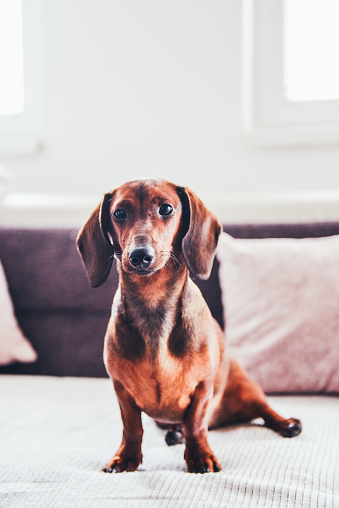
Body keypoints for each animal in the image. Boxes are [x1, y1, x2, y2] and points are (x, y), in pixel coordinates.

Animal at [77, 179, 302, 472]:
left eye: (166, 208)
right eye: (119, 213)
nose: (140, 256)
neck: (153, 304)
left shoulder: (202, 387)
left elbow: (195, 423)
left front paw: (199, 456)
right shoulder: (122, 389)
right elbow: (132, 427)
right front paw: (126, 458)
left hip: (247, 389)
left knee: (264, 410)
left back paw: (286, 424)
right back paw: (175, 433)